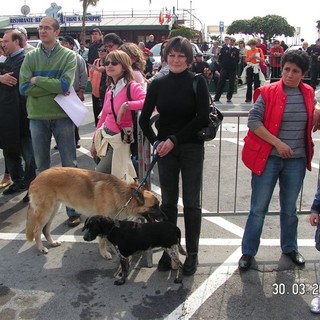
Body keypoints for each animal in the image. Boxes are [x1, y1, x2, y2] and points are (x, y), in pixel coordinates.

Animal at [26, 168, 164, 258]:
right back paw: (41, 248)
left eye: (158, 204)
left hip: (53, 210)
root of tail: (35, 179)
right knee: (37, 230)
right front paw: (105, 253)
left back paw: (51, 242)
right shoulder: (102, 220)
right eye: (154, 206)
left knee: (45, 229)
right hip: (46, 212)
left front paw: (110, 248)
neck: (122, 195)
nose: (165, 217)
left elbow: (107, 237)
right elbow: (102, 239)